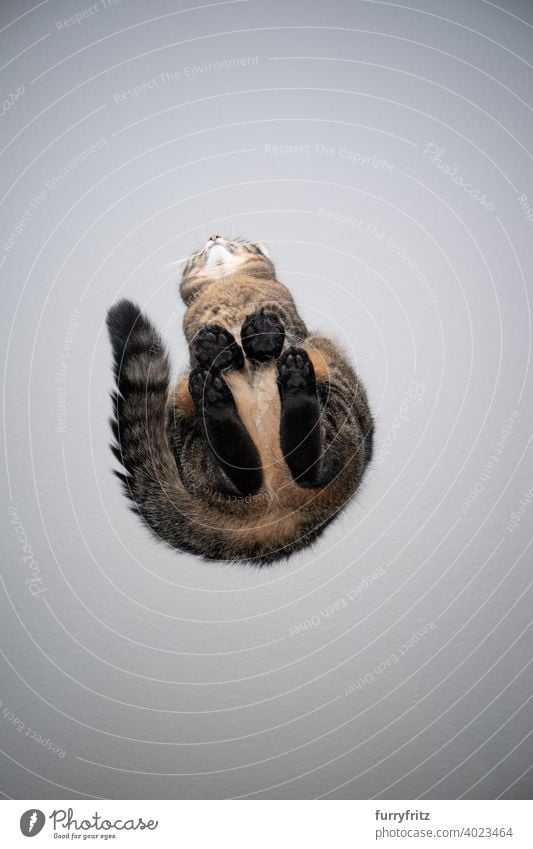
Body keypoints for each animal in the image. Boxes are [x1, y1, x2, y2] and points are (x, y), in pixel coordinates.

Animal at [107, 235, 374, 564]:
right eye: (197, 253)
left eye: (238, 240)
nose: (213, 235)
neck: (227, 284)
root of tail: (282, 513)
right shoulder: (195, 348)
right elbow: (205, 345)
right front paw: (217, 346)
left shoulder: (288, 319)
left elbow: (276, 326)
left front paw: (259, 335)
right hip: (186, 413)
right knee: (244, 476)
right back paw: (217, 395)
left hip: (328, 370)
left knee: (311, 466)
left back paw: (293, 381)